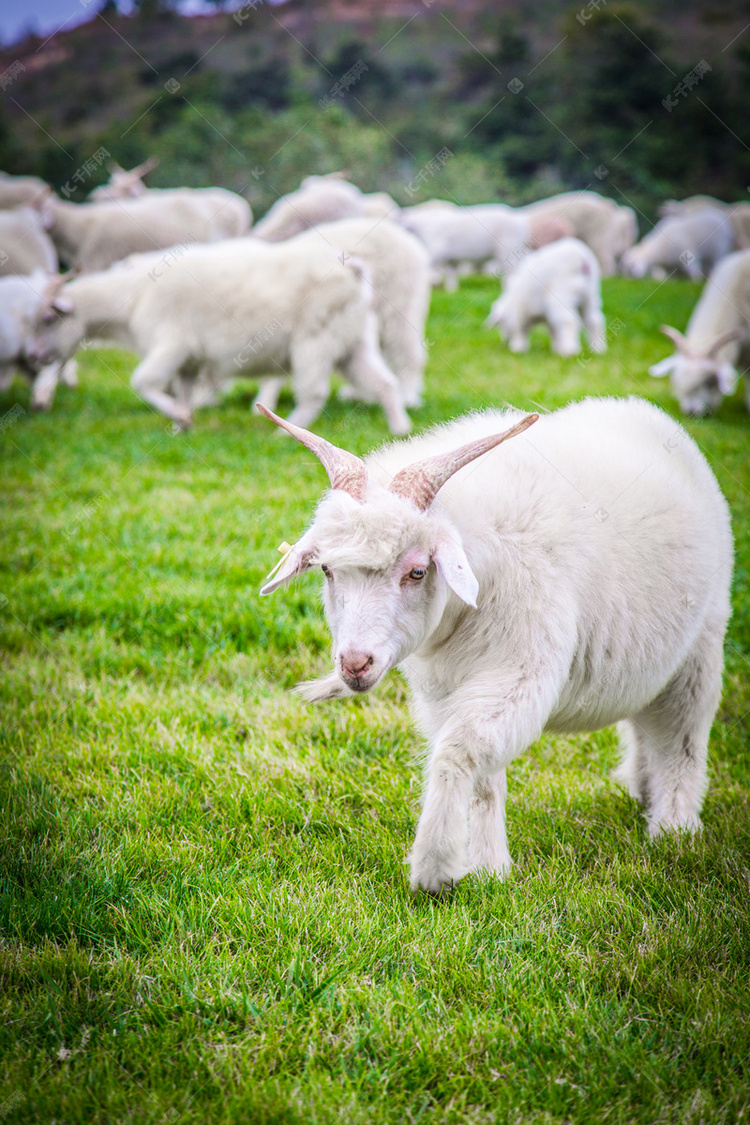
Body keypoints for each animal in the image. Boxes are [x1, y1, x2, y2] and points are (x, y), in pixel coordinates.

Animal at [258, 396, 733, 895]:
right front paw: (488, 867)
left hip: (702, 644)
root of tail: (641, 409)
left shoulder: (520, 672)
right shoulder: (445, 690)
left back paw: (674, 829)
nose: (354, 663)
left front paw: (436, 867)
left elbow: (458, 751)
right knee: (648, 723)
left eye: (417, 571)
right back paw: (643, 789)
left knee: (682, 738)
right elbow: (485, 779)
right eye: (328, 571)